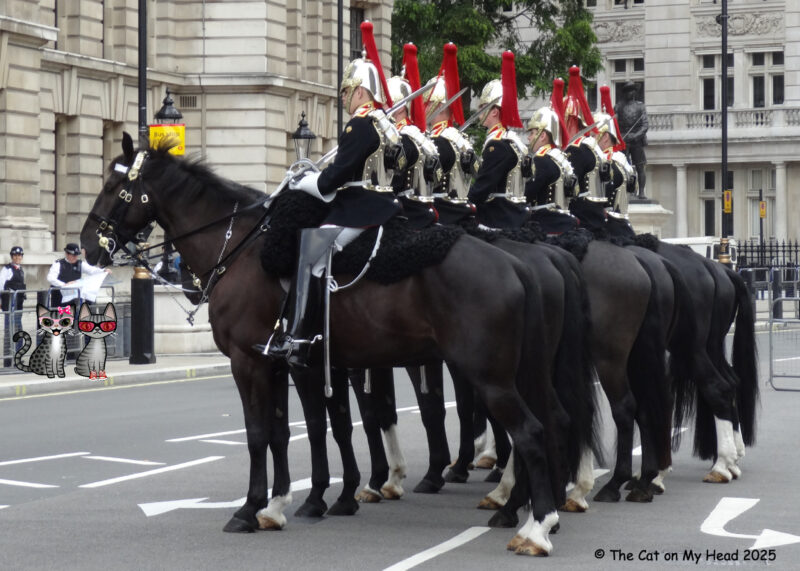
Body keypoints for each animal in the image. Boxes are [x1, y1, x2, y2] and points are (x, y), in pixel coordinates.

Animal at [80, 134, 568, 556]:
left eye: (112, 186)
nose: (86, 246)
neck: (241, 249)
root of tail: (513, 262)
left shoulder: (249, 362)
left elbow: (261, 434)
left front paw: (250, 509)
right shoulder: (278, 363)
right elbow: (285, 432)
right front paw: (277, 506)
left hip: (487, 375)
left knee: (528, 431)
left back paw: (535, 528)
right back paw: (523, 509)